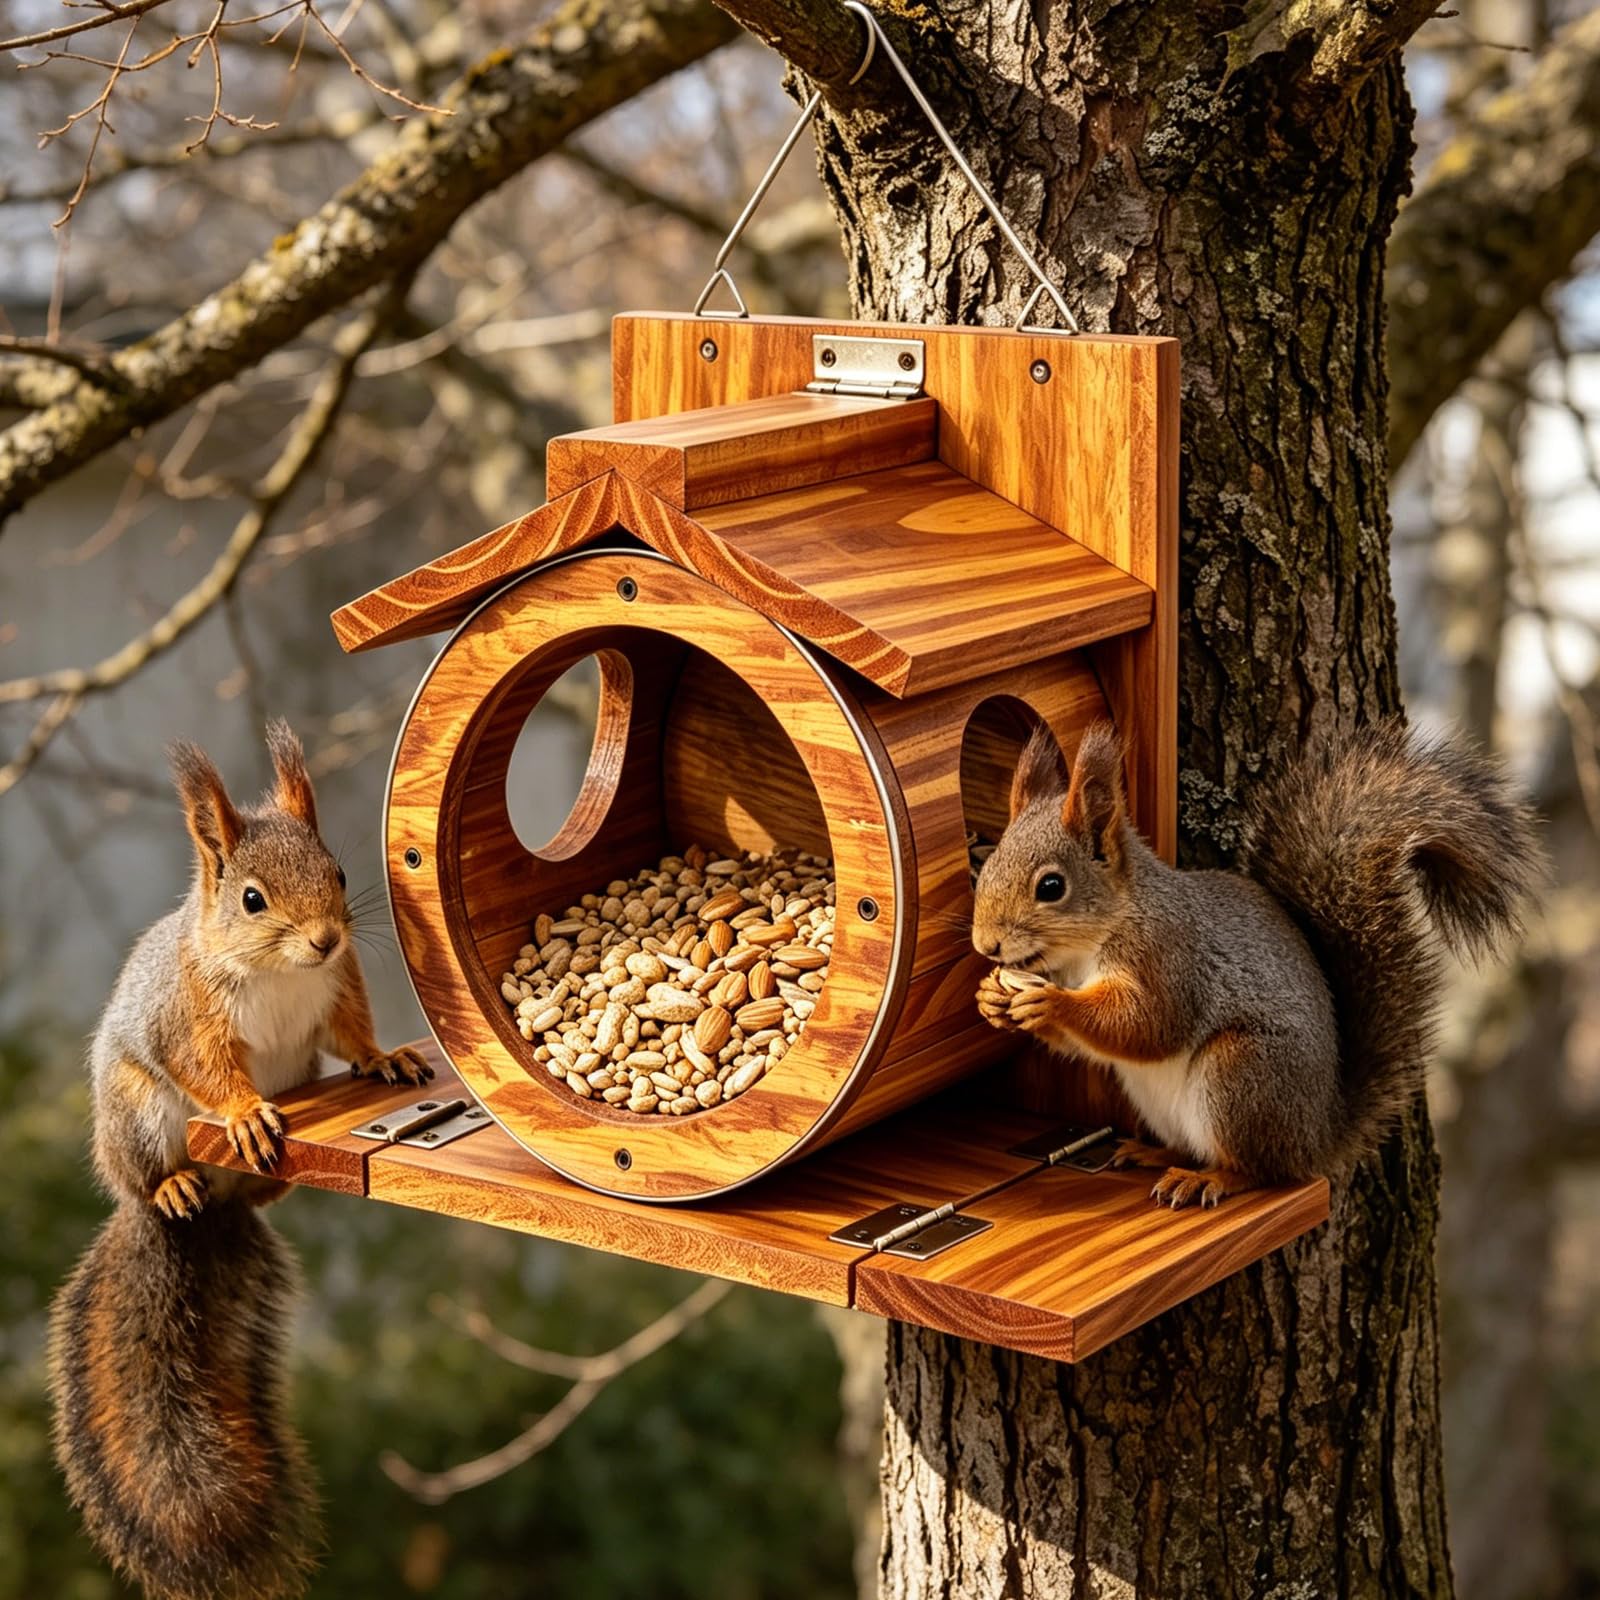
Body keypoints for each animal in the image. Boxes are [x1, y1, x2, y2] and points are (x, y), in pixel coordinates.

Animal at [48, 719, 431, 1600]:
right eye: (252, 898)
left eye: (339, 872)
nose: (326, 937)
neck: (281, 972)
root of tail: (208, 1210)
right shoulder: (189, 1017)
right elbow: (210, 1072)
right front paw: (245, 1113)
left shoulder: (338, 992)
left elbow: (355, 1036)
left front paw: (388, 1058)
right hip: (136, 1115)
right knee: (151, 1173)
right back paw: (177, 1183)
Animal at [973, 719, 1541, 1208]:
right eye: (987, 863)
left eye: (1051, 886)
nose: (985, 945)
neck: (1093, 943)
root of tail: (1316, 1135)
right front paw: (991, 999)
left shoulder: (1170, 958)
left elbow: (1148, 1025)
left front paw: (1051, 1005)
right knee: (1193, 1146)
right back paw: (1151, 1152)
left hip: (1242, 1075)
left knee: (1258, 1171)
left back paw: (1207, 1180)